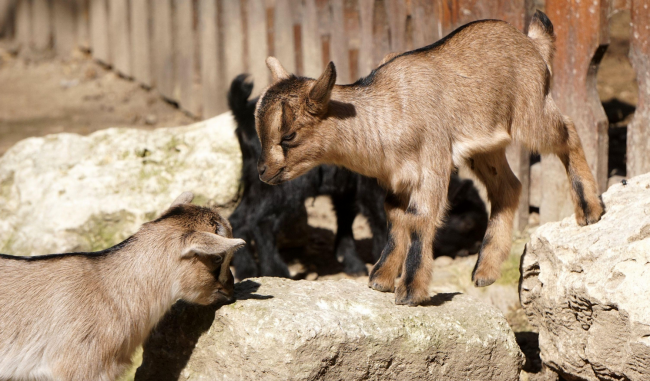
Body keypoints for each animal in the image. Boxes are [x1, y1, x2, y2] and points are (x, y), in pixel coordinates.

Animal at [225, 74, 484, 278]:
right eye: (467, 222)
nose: (474, 247)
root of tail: (244, 113)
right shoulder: (372, 191)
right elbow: (382, 221)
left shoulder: (346, 189)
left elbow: (345, 221)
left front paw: (352, 263)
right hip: (283, 186)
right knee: (262, 222)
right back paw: (275, 271)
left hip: (256, 183)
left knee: (240, 218)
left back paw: (246, 269)